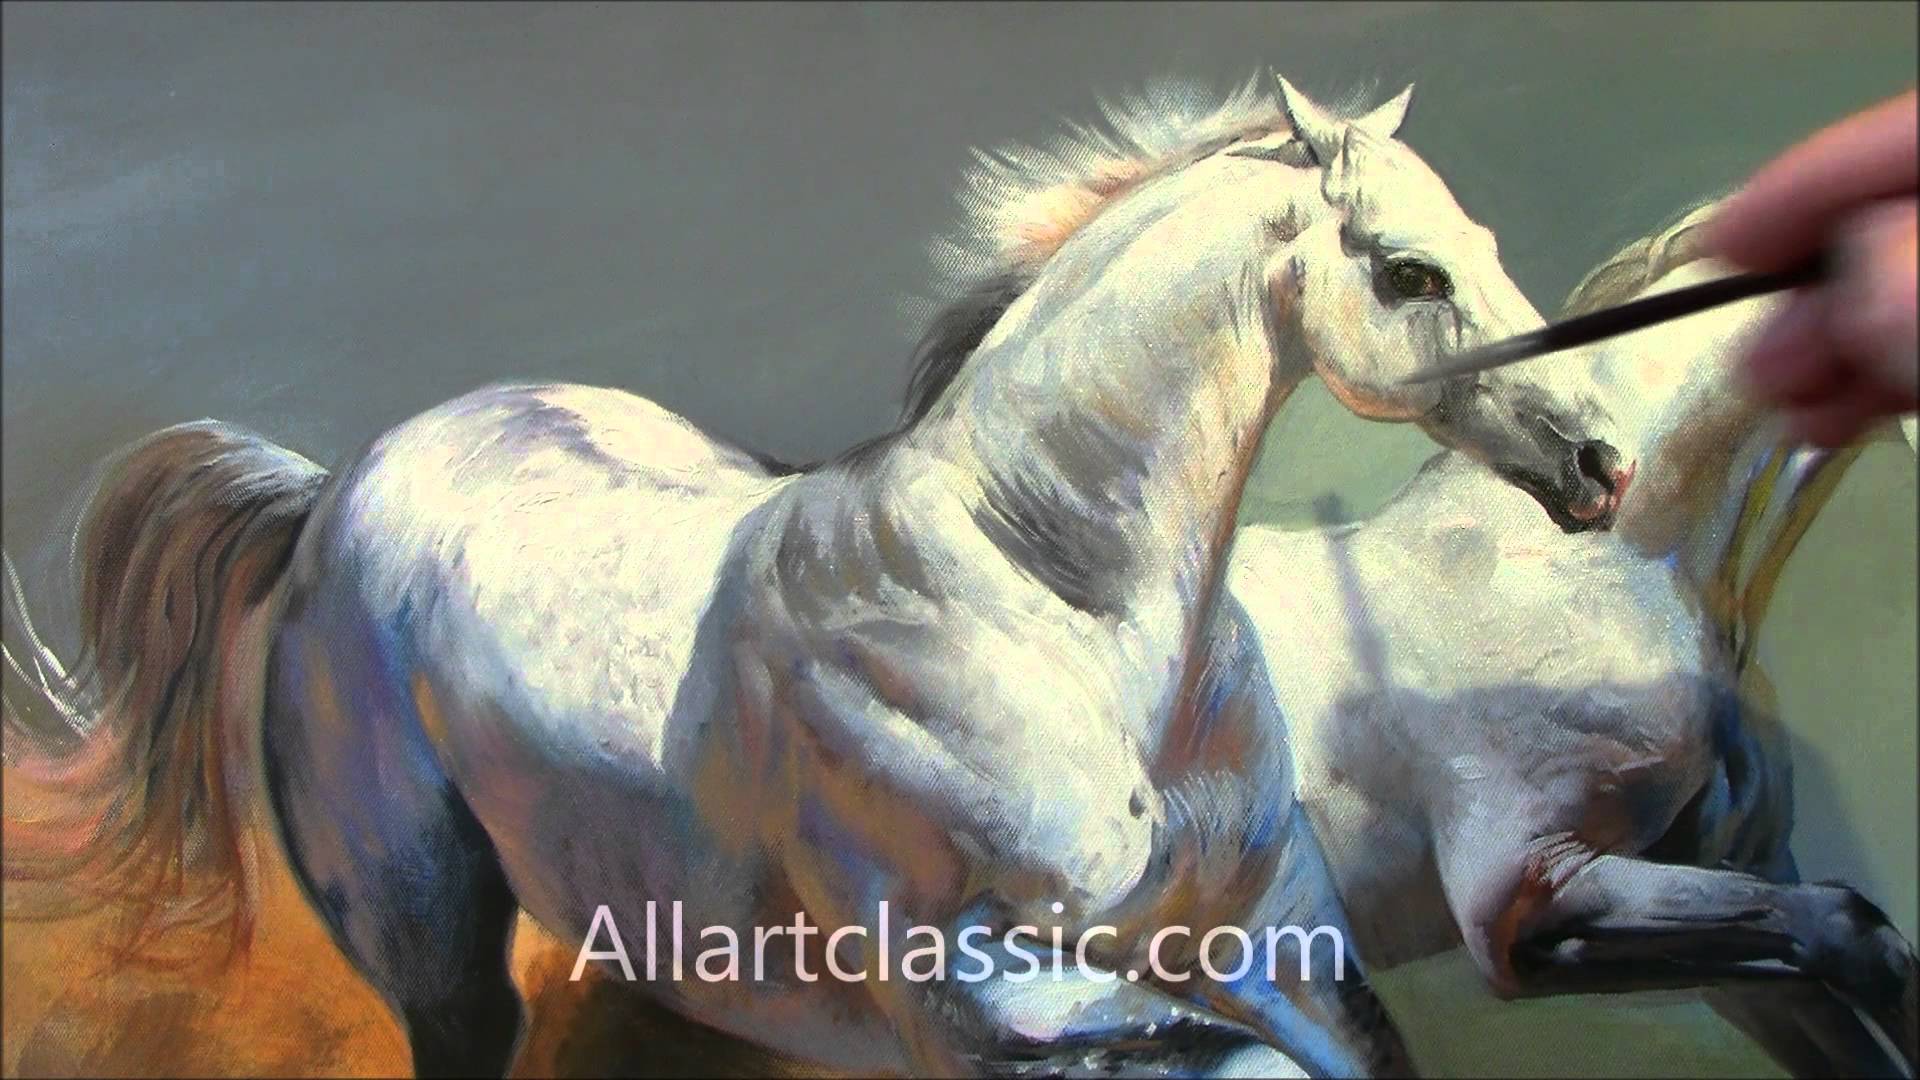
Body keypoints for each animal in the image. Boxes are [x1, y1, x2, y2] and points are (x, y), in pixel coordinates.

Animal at [1, 75, 1629, 1078]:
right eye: (1411, 272)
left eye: (1484, 238)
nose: (1603, 459)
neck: (1059, 618)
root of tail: (333, 493)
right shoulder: (989, 1018)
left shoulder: (1289, 953)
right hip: (442, 960)